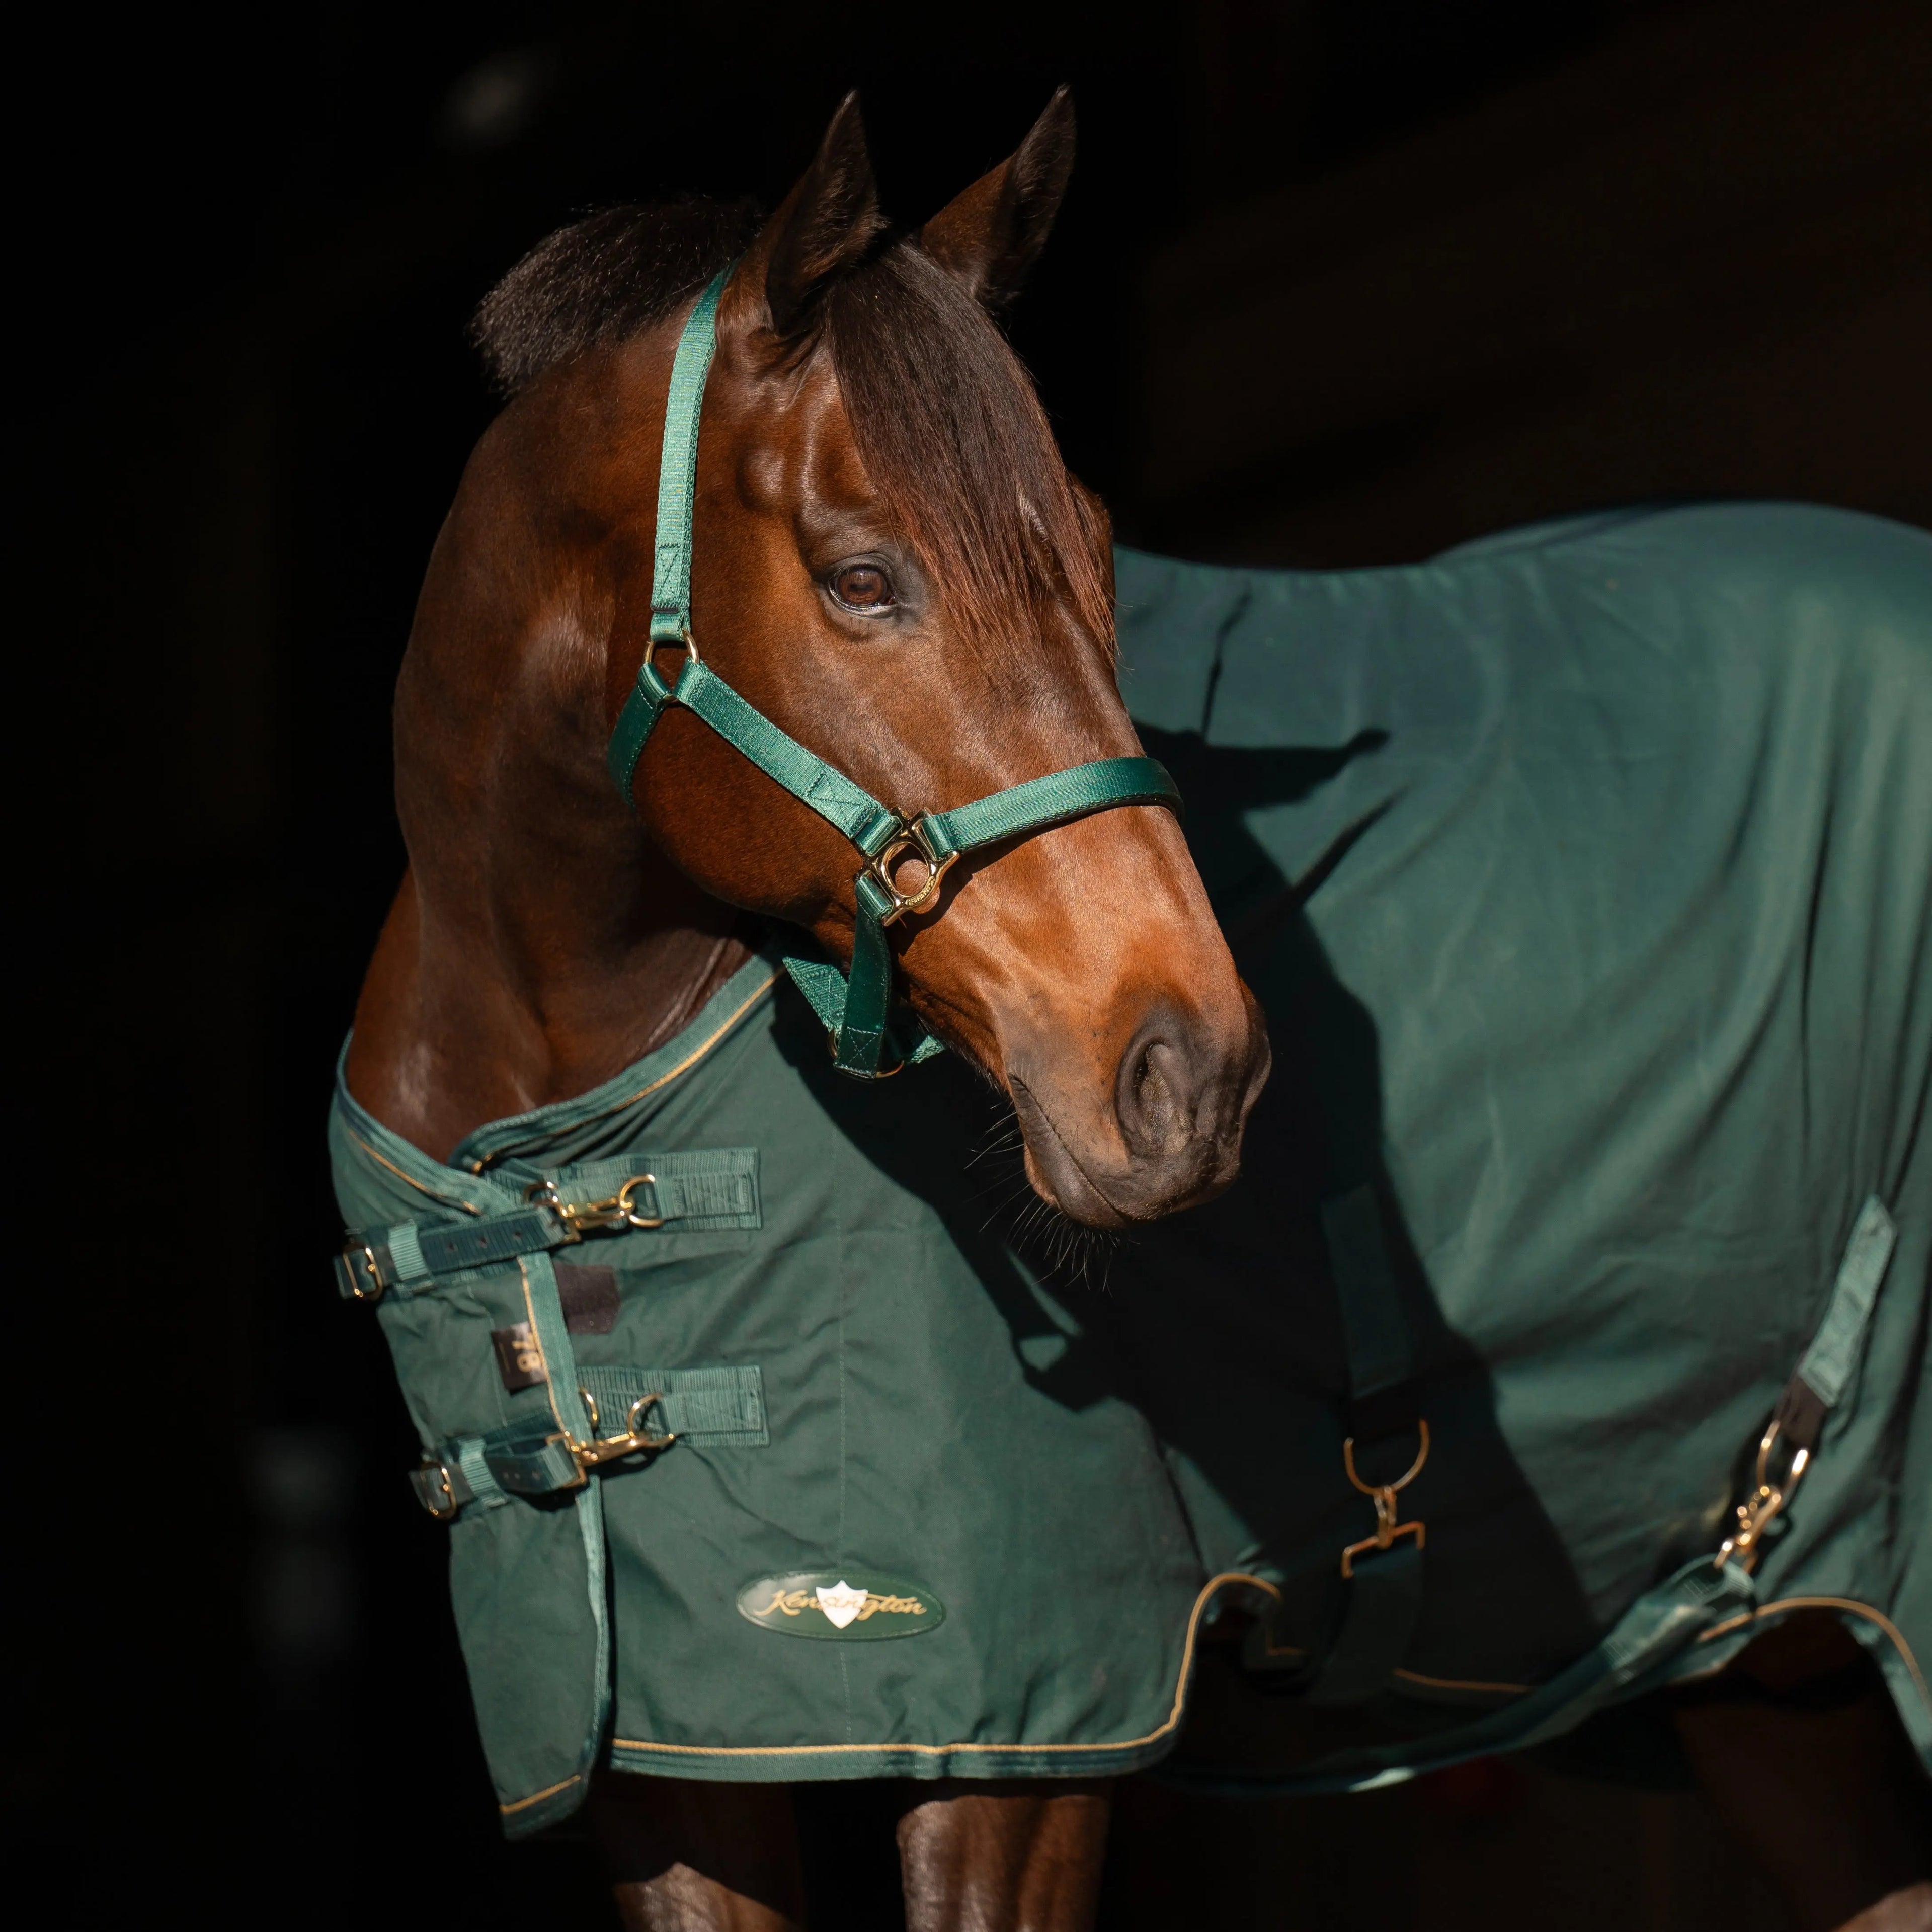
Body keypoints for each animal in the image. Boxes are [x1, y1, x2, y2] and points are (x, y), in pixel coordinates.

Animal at [332, 92, 1931, 1931]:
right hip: (1778, 1683)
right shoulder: (673, 1755)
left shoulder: (1028, 1731)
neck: (550, 1139)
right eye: (859, 576)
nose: (1192, 1073)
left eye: (1093, 547)